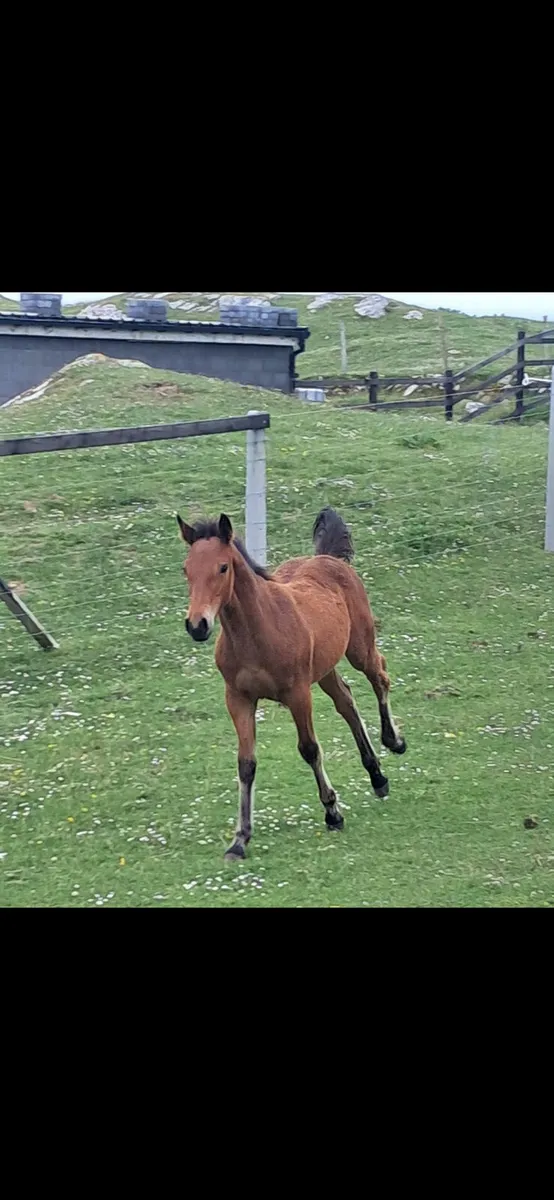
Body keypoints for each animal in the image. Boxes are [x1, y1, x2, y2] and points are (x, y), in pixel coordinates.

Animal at [177, 507, 406, 861]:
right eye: (186, 569)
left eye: (222, 567)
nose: (197, 626)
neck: (256, 633)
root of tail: (328, 559)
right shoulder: (238, 699)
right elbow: (246, 764)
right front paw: (239, 840)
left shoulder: (298, 694)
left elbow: (309, 749)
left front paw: (332, 813)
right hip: (325, 669)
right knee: (346, 701)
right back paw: (377, 776)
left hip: (359, 648)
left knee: (379, 676)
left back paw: (394, 742)